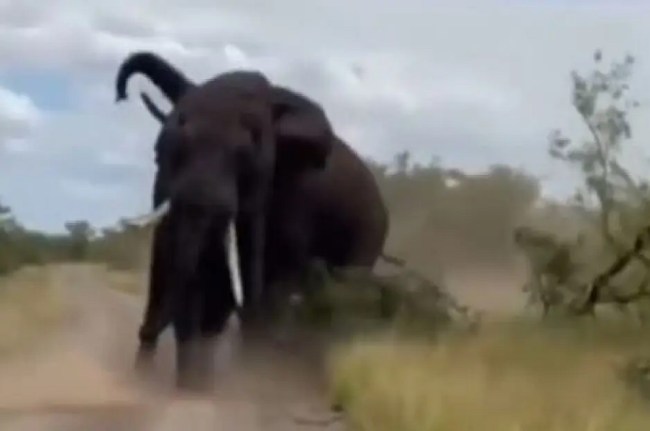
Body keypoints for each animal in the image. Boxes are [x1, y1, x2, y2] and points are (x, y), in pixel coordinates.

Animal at [115, 51, 390, 390]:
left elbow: (269, 274)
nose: (122, 95)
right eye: (161, 152)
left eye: (248, 158)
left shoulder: (293, 195)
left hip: (368, 235)